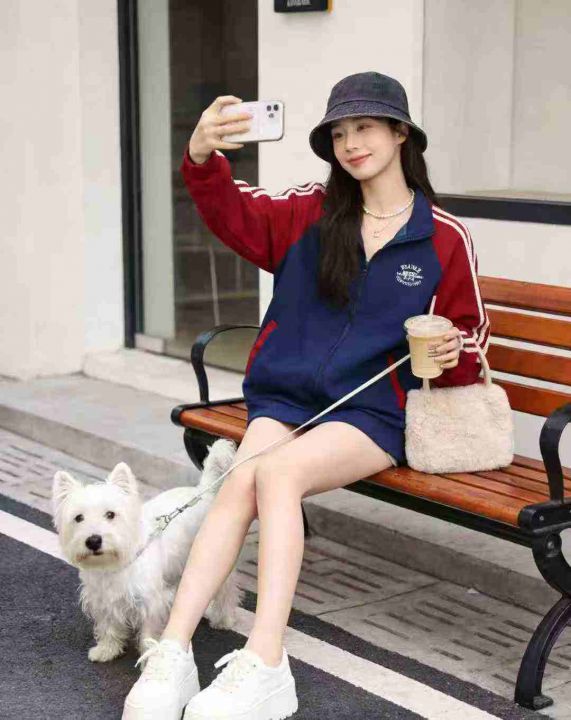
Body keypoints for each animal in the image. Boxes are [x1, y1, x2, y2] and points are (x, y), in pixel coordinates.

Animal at [51, 438, 243, 662]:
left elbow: (148, 633)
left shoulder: (150, 603)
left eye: (110, 514)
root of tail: (201, 491)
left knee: (227, 589)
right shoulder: (104, 599)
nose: (93, 541)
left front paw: (150, 657)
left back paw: (224, 619)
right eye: (78, 518)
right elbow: (108, 626)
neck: (115, 564)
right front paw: (106, 650)